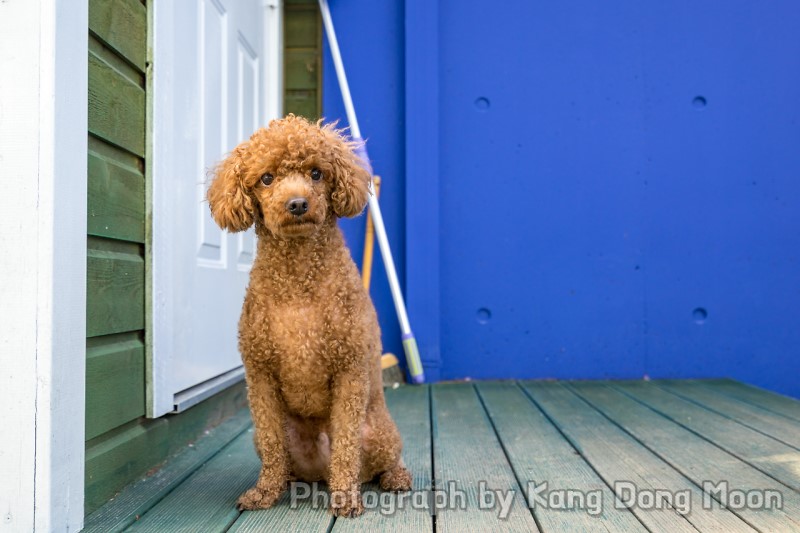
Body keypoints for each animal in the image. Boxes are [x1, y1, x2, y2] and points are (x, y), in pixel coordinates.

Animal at [206, 115, 412, 516]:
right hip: (278, 439)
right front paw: (264, 493)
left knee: (383, 458)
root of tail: (318, 472)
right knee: (283, 457)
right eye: (266, 178)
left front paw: (345, 499)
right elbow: (272, 444)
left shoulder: (349, 371)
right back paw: (288, 481)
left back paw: (395, 477)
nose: (298, 203)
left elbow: (345, 444)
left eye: (316, 173)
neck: (299, 279)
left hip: (378, 430)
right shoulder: (260, 375)